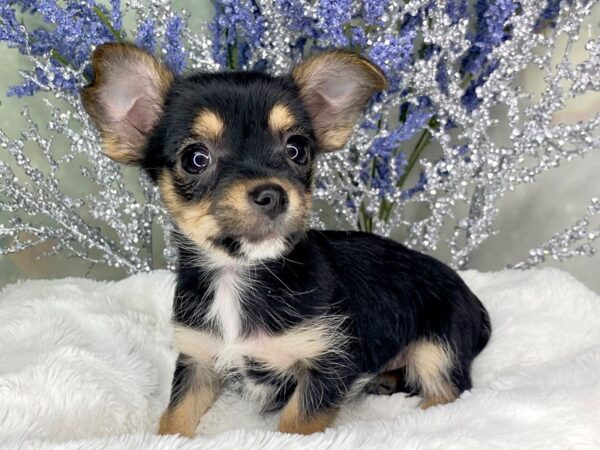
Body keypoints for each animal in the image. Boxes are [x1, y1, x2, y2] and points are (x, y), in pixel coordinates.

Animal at [81, 42, 492, 436]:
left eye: (297, 149)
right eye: (196, 158)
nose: (273, 194)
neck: (239, 275)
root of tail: (472, 297)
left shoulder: (327, 363)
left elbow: (296, 423)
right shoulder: (198, 360)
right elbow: (174, 416)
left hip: (438, 349)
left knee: (446, 394)